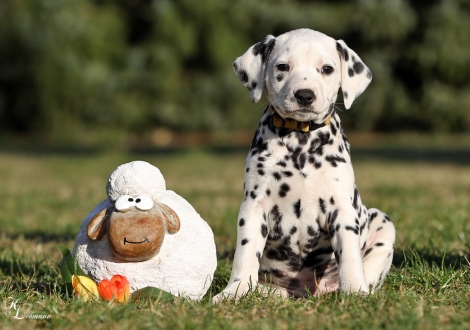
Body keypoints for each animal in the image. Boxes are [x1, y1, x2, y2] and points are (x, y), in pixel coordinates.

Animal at [215, 29, 394, 302]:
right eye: (283, 67)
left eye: (327, 69)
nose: (305, 95)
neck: (301, 141)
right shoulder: (254, 206)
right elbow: (245, 255)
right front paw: (235, 291)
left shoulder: (342, 208)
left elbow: (350, 257)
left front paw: (354, 291)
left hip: (383, 224)